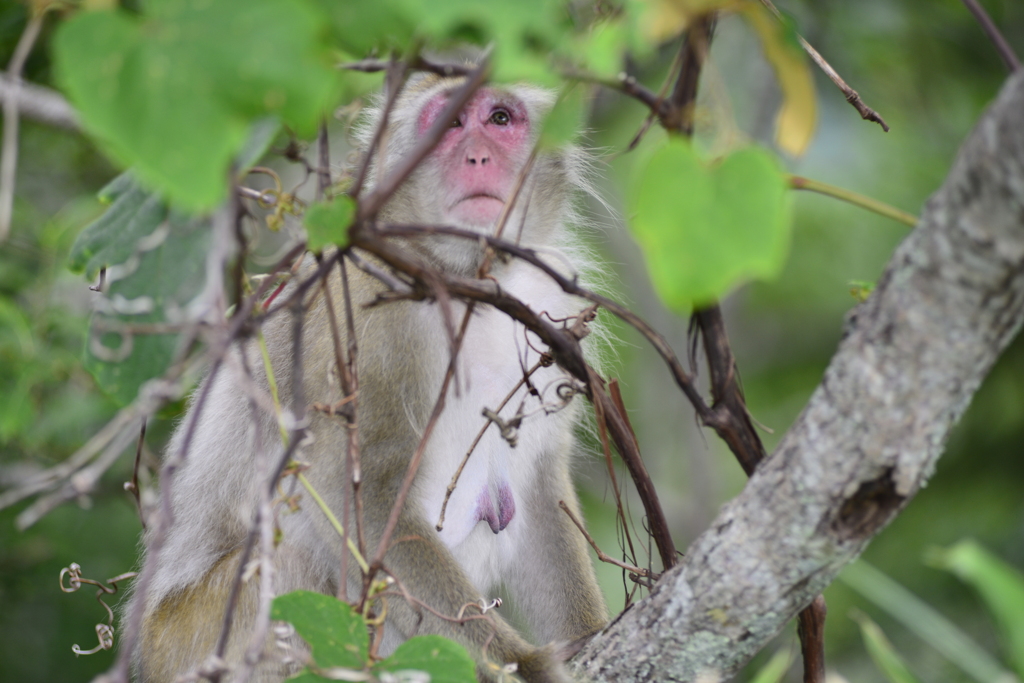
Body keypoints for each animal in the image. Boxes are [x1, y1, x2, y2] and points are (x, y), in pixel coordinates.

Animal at [128, 70, 606, 683]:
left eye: (500, 118)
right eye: (450, 121)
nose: (477, 155)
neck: (465, 283)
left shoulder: (548, 308)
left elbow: (541, 492)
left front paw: (589, 633)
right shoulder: (362, 320)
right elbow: (359, 501)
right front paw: (519, 664)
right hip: (192, 638)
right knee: (287, 562)